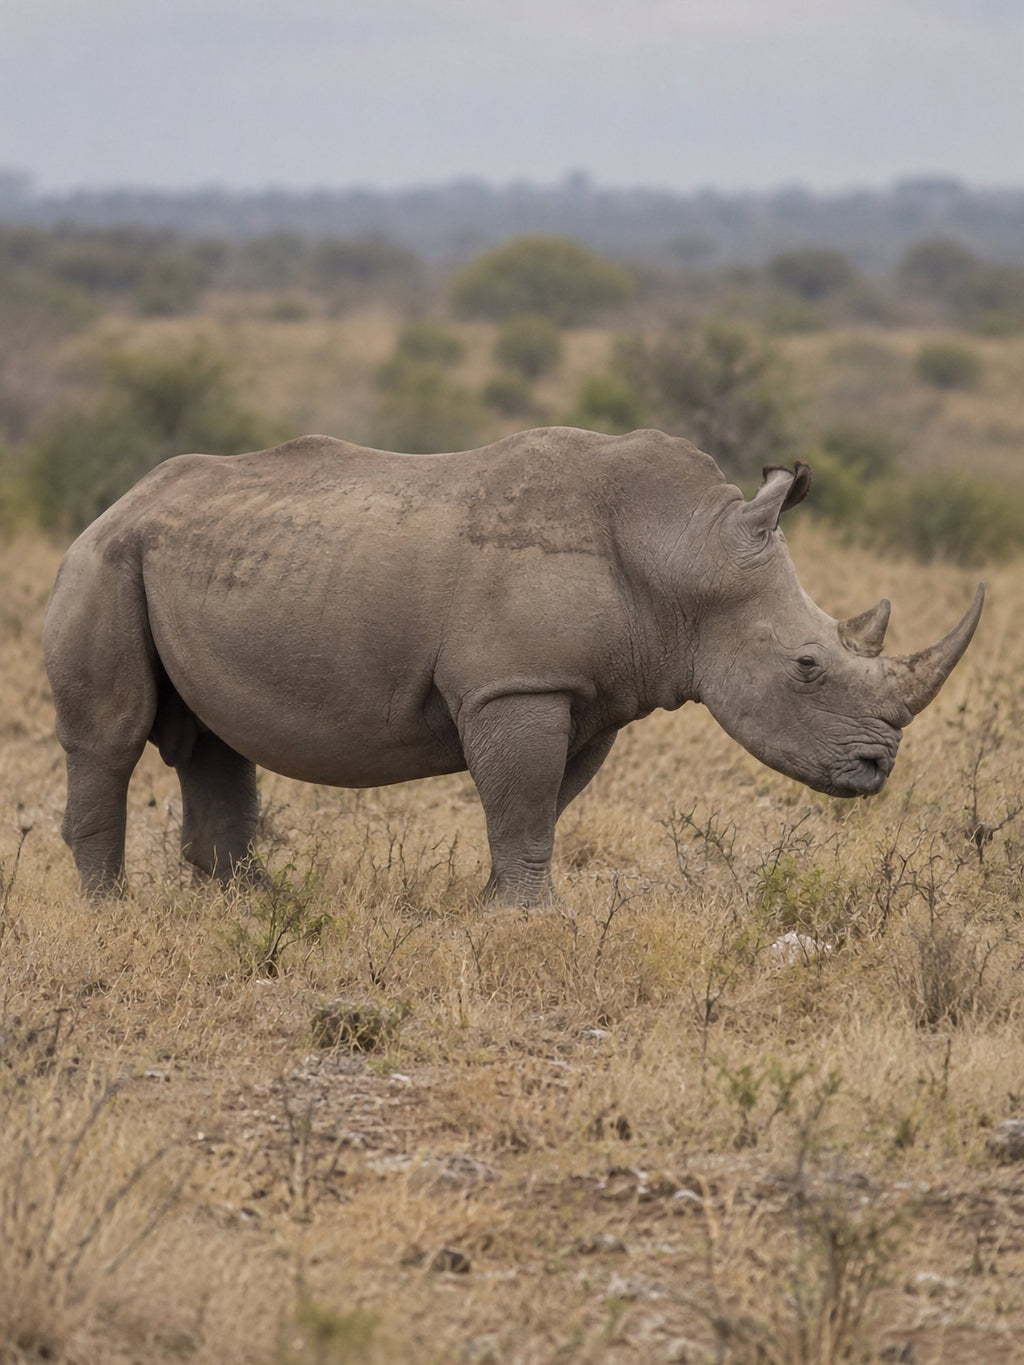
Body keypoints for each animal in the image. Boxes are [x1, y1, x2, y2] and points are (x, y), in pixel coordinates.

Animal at [43, 427, 983, 905]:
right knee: (110, 739)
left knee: (213, 743)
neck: (684, 551)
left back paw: (252, 905)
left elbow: (539, 803)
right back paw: (111, 912)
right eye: (807, 666)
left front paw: (500, 906)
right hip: (103, 562)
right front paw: (529, 919)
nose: (878, 768)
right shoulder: (518, 683)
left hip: (177, 560)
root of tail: (115, 502)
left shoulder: (586, 692)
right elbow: (523, 797)